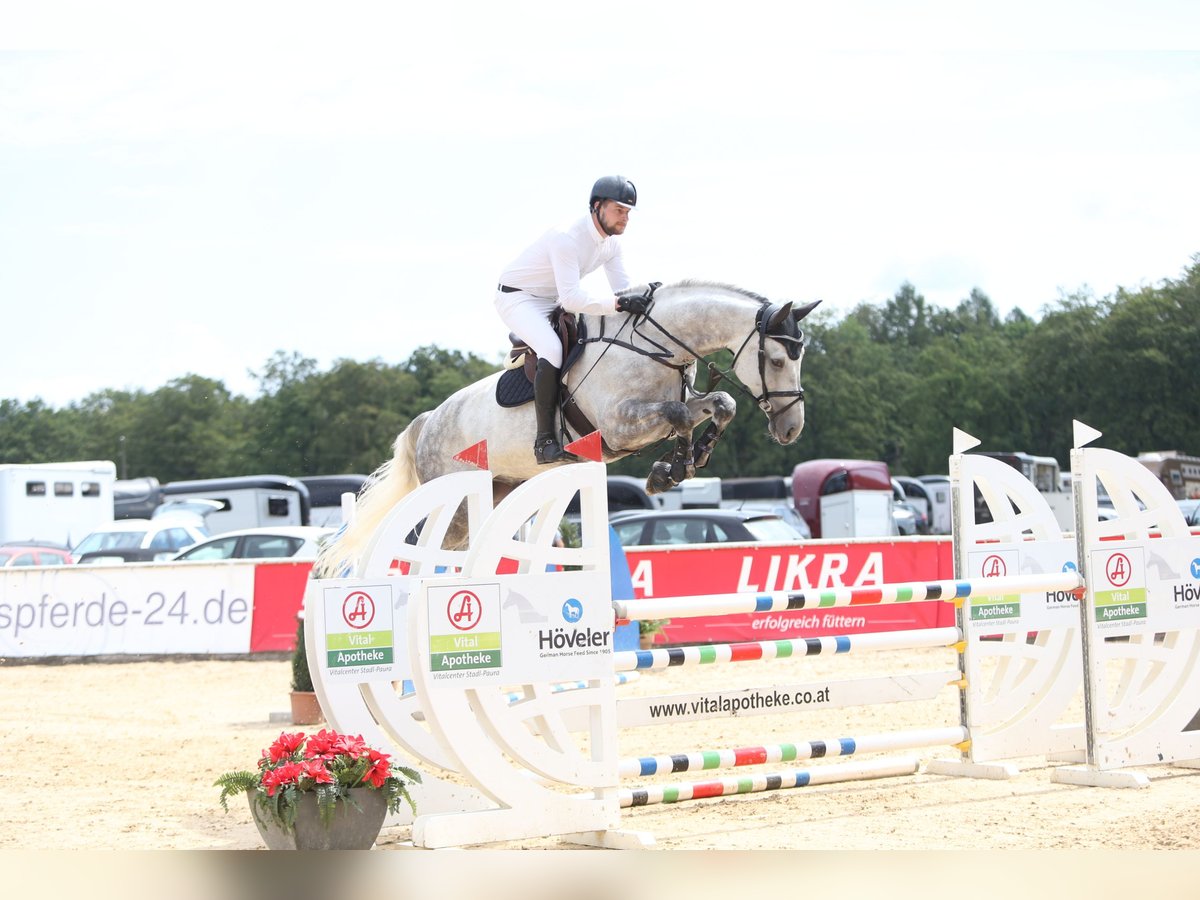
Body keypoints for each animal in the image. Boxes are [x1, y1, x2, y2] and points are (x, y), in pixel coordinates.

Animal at [316, 282, 825, 578]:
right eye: (775, 359)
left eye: (799, 357)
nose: (791, 429)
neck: (654, 346)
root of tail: (426, 423)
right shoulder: (620, 425)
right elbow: (681, 416)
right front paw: (670, 469)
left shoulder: (670, 405)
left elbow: (721, 404)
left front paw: (684, 462)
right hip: (454, 500)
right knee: (422, 552)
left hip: (489, 496)